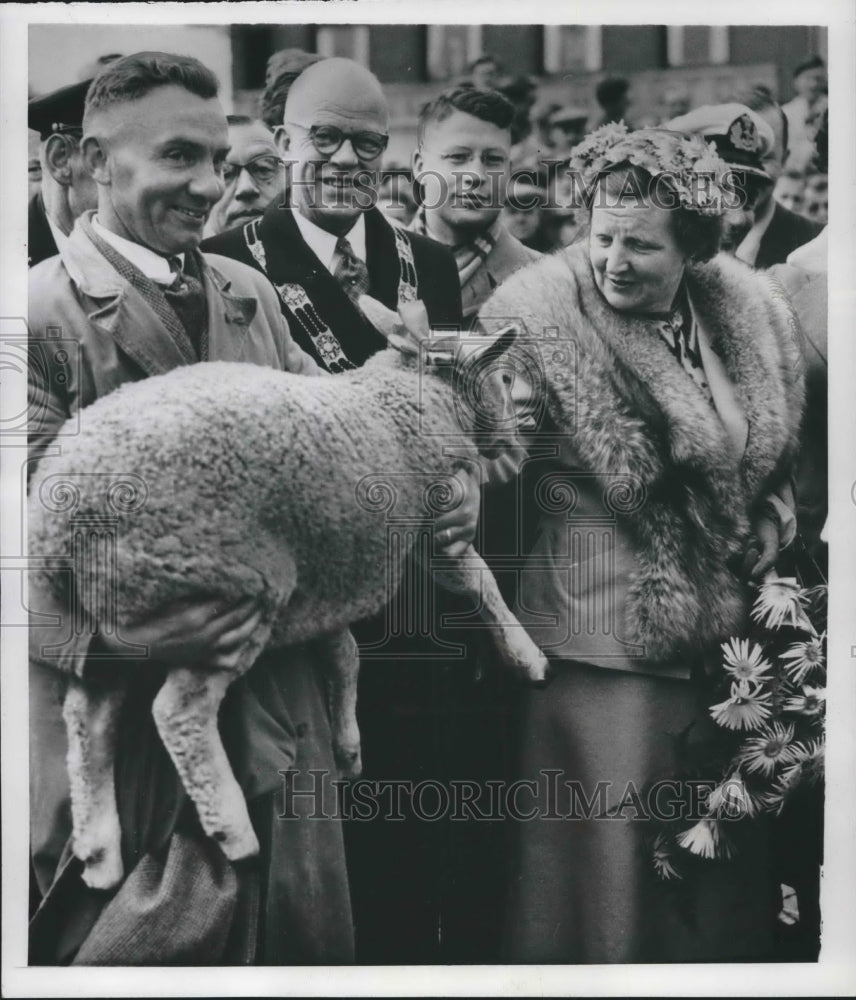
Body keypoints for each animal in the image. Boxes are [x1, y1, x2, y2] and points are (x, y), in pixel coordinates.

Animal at [28, 298, 548, 892]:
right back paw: (234, 832)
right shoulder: (433, 528)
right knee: (177, 712)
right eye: (503, 378)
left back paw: (99, 852)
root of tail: (59, 519)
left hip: (120, 605)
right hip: (222, 592)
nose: (524, 430)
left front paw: (346, 743)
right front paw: (527, 656)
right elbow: (481, 580)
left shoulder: (327, 571)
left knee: (89, 716)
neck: (403, 400)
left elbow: (344, 653)